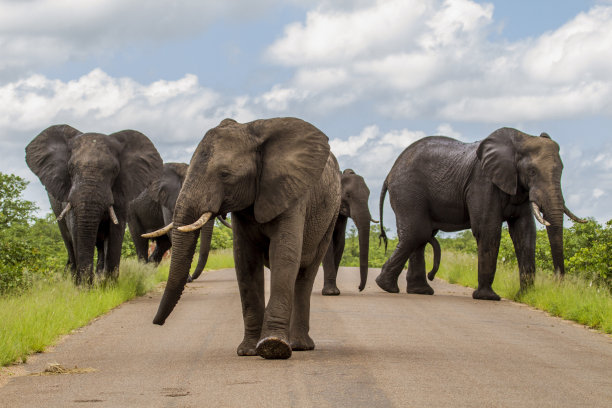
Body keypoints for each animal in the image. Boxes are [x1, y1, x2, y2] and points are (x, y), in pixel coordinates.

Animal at [25, 123, 163, 284]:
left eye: (115, 170)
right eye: (70, 168)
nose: (86, 283)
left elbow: (115, 232)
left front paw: (109, 285)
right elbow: (76, 231)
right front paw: (84, 287)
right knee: (69, 243)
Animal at [146, 116, 342, 358]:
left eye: (225, 174)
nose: (157, 323)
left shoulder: (292, 192)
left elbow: (284, 255)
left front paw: (273, 347)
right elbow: (245, 261)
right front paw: (249, 350)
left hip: (330, 215)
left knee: (306, 273)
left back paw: (298, 345)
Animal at [376, 127, 584, 300]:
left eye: (562, 170)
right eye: (532, 172)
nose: (559, 286)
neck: (521, 139)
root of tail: (389, 173)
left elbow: (524, 232)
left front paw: (524, 296)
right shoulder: (482, 182)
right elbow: (488, 229)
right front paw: (488, 297)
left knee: (421, 236)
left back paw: (419, 291)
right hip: (408, 192)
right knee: (417, 233)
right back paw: (388, 287)